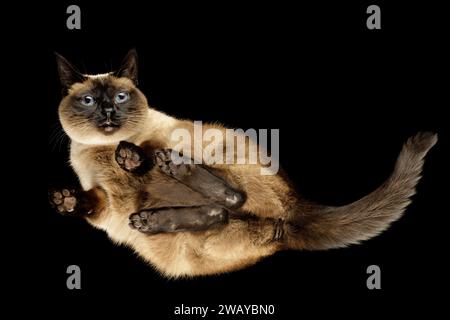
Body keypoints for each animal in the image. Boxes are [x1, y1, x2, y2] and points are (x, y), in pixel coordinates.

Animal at [48, 49, 436, 278]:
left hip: (217, 147)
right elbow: (87, 201)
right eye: (87, 101)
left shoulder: (160, 137)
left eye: (120, 97)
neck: (102, 149)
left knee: (231, 196)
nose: (108, 113)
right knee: (219, 211)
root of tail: (296, 206)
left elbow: (142, 153)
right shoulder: (106, 206)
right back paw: (148, 219)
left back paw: (173, 169)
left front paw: (130, 157)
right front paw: (65, 200)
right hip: (187, 245)